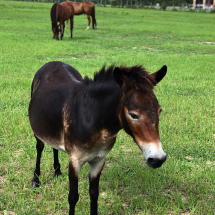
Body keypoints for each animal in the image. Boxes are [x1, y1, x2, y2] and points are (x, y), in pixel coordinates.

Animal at [28, 61, 167, 215]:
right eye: (133, 114)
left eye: (160, 110)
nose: (158, 159)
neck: (92, 118)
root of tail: (53, 62)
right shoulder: (75, 161)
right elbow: (73, 197)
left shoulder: (98, 160)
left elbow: (94, 194)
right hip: (38, 132)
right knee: (39, 148)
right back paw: (36, 179)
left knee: (54, 146)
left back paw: (57, 172)